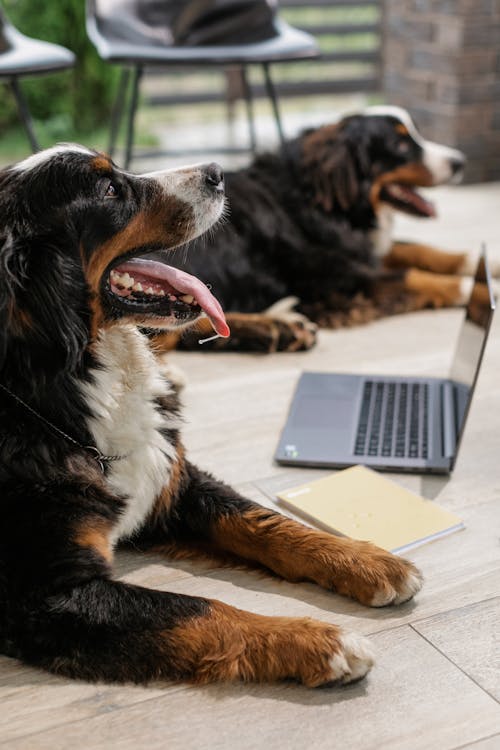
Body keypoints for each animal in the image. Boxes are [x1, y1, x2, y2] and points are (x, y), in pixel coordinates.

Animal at [0, 145, 422, 688]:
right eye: (110, 190)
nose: (218, 174)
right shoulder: (51, 596)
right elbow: (203, 610)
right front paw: (320, 642)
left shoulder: (171, 479)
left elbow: (265, 522)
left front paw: (369, 561)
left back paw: (278, 328)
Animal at [152, 104, 484, 354]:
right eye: (400, 145)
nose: (460, 161)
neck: (320, 200)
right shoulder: (340, 279)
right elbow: (420, 277)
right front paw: (481, 293)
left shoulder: (359, 249)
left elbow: (417, 248)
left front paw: (484, 262)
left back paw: (279, 330)